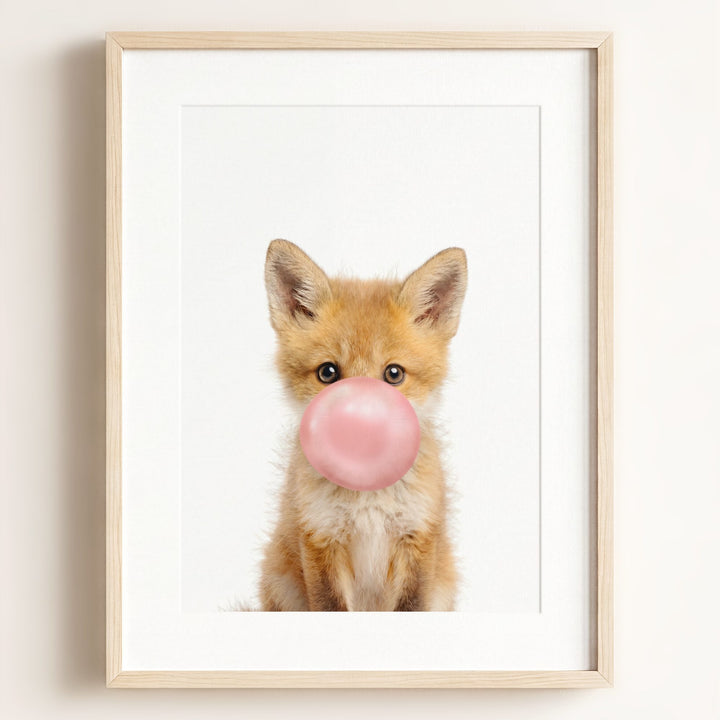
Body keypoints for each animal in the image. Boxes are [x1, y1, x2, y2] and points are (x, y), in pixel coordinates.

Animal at [260, 239, 467, 611]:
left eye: (394, 374)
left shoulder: (417, 539)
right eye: (328, 372)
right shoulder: (320, 537)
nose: (358, 424)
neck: (367, 497)